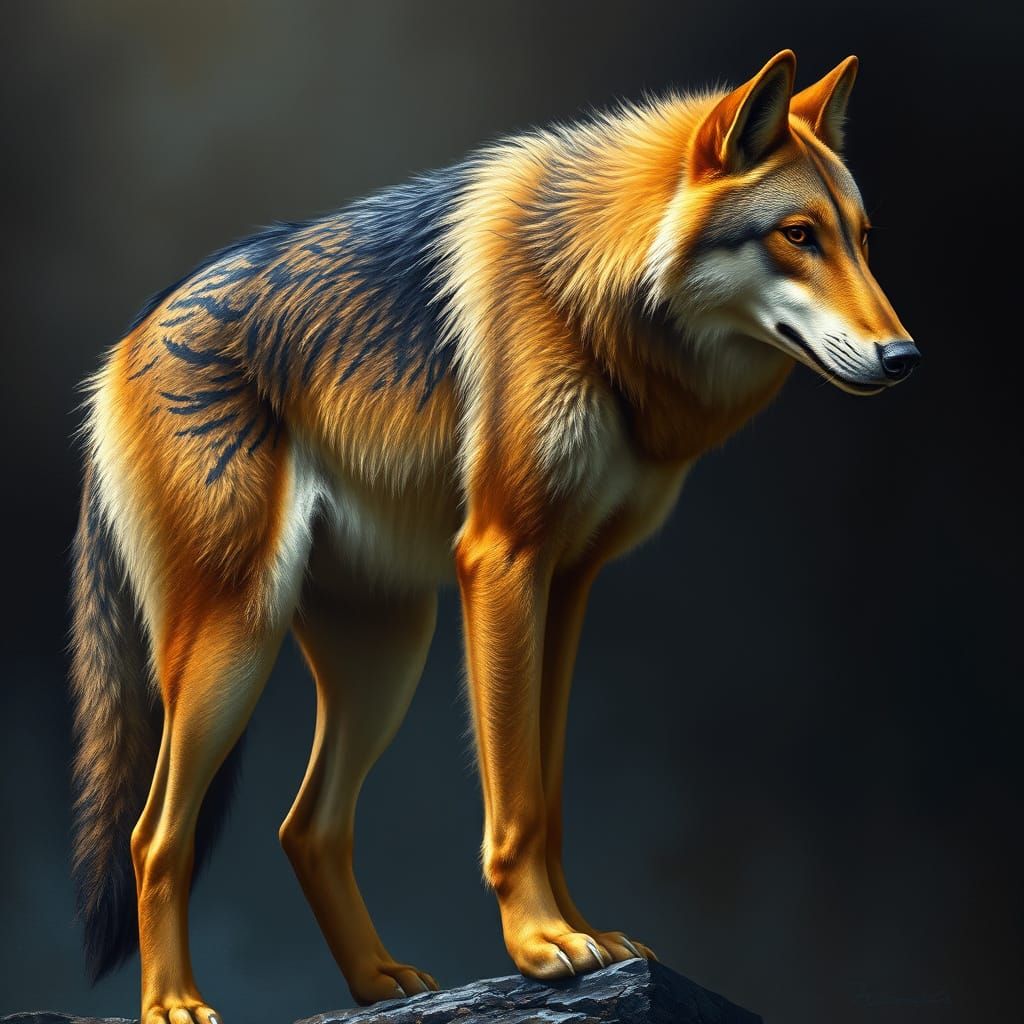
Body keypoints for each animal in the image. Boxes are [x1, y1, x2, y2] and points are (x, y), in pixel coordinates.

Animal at [70, 50, 918, 1022]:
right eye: (798, 235)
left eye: (862, 237)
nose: (906, 358)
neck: (589, 294)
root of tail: (126, 342)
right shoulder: (504, 559)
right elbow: (512, 796)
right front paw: (541, 945)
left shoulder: (570, 580)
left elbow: (547, 796)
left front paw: (582, 933)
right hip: (235, 645)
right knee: (155, 836)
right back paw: (174, 1001)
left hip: (387, 656)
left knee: (306, 826)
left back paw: (379, 982)